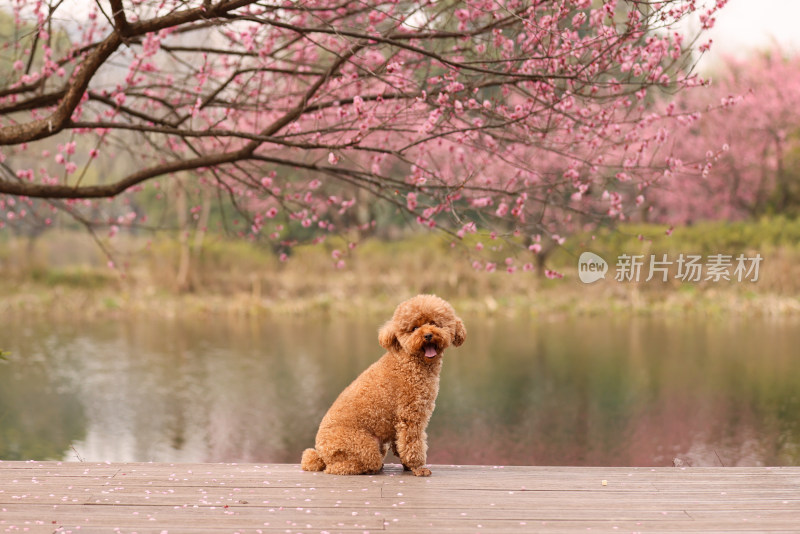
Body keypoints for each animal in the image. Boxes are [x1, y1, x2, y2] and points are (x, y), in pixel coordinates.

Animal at [302, 298, 466, 478]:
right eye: (414, 328)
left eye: (434, 323)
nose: (428, 335)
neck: (410, 361)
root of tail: (321, 454)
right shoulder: (411, 415)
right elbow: (412, 444)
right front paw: (418, 467)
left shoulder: (400, 421)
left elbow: (400, 445)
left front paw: (407, 466)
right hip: (364, 447)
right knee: (338, 468)